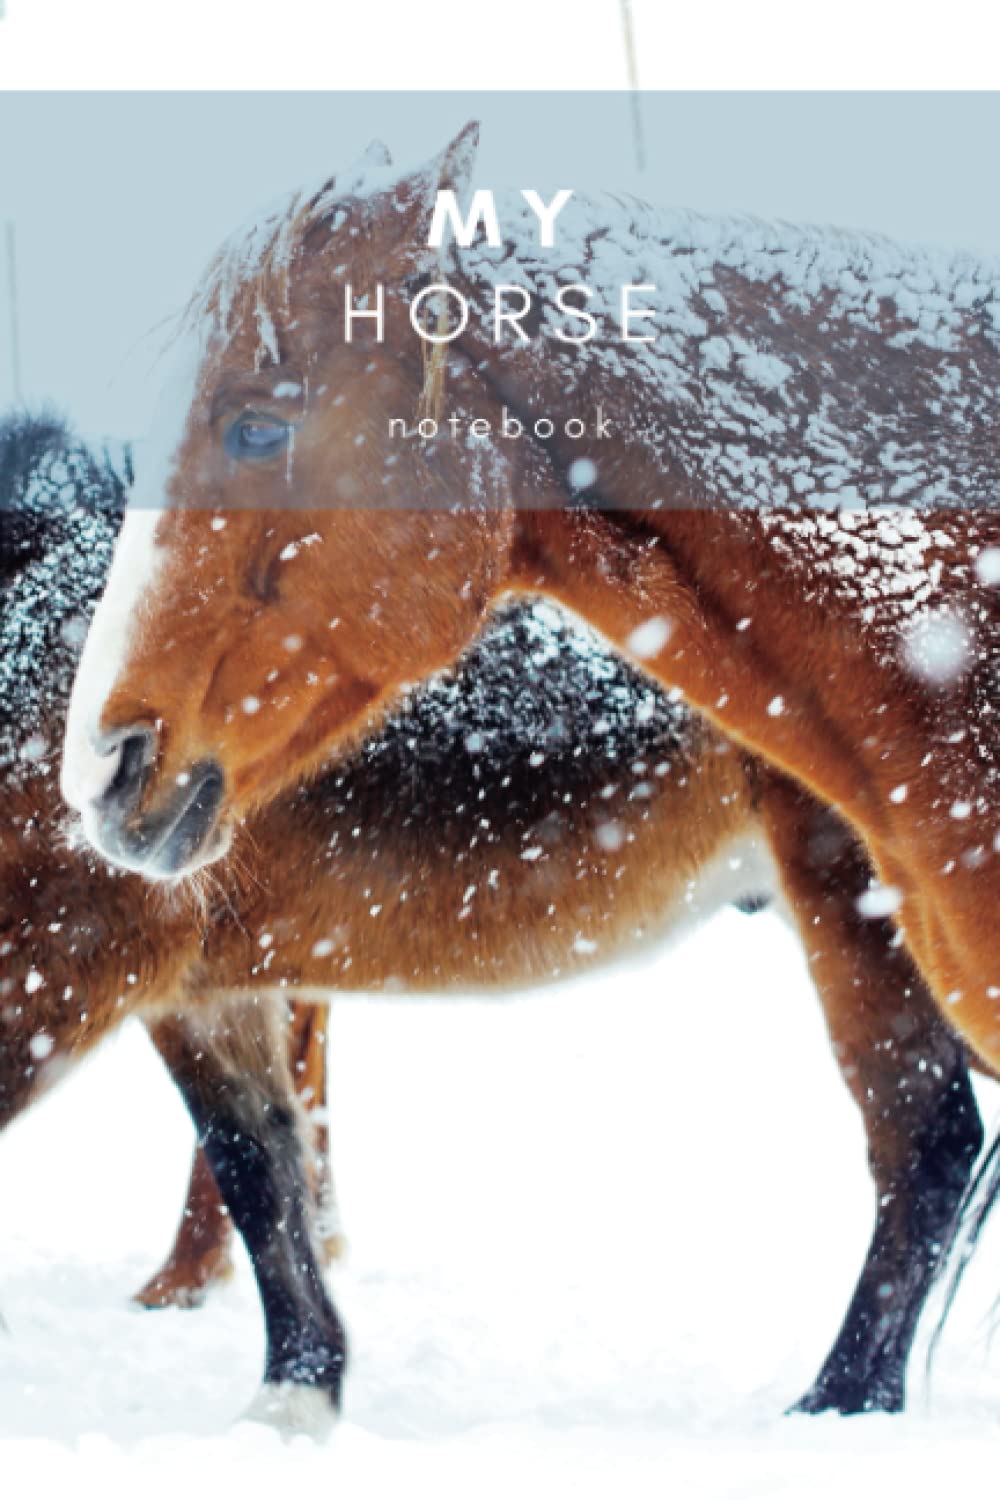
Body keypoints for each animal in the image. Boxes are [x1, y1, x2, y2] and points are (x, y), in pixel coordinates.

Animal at [4, 413, 983, 1420]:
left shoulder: (64, 964)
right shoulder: (199, 989)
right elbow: (261, 1168)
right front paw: (296, 1392)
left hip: (854, 915)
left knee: (927, 1141)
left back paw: (839, 1401)